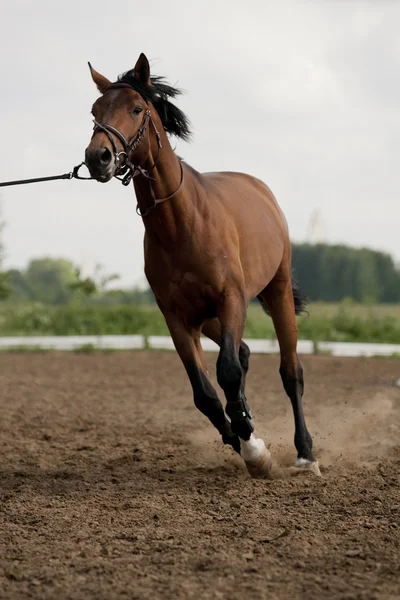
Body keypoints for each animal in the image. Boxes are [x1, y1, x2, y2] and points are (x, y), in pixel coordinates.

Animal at [85, 54, 322, 480]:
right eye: (95, 111)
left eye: (137, 108)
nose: (98, 157)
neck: (182, 225)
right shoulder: (178, 318)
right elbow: (205, 393)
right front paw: (244, 440)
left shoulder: (231, 300)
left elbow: (227, 370)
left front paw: (250, 440)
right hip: (207, 317)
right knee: (243, 353)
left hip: (274, 292)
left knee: (289, 371)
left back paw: (305, 453)